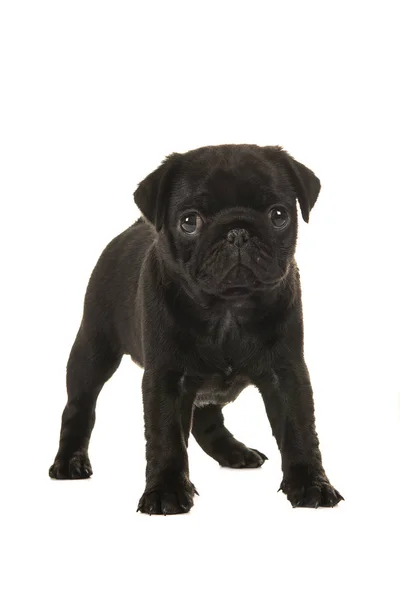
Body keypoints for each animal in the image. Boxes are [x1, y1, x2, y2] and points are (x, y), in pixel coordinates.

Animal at [49, 143, 344, 512]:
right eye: (189, 222)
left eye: (278, 215)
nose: (237, 233)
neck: (228, 310)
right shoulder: (167, 378)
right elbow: (166, 437)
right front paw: (166, 490)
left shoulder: (286, 373)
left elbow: (299, 429)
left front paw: (310, 483)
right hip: (94, 349)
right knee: (79, 405)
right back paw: (69, 461)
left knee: (206, 418)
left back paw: (234, 452)